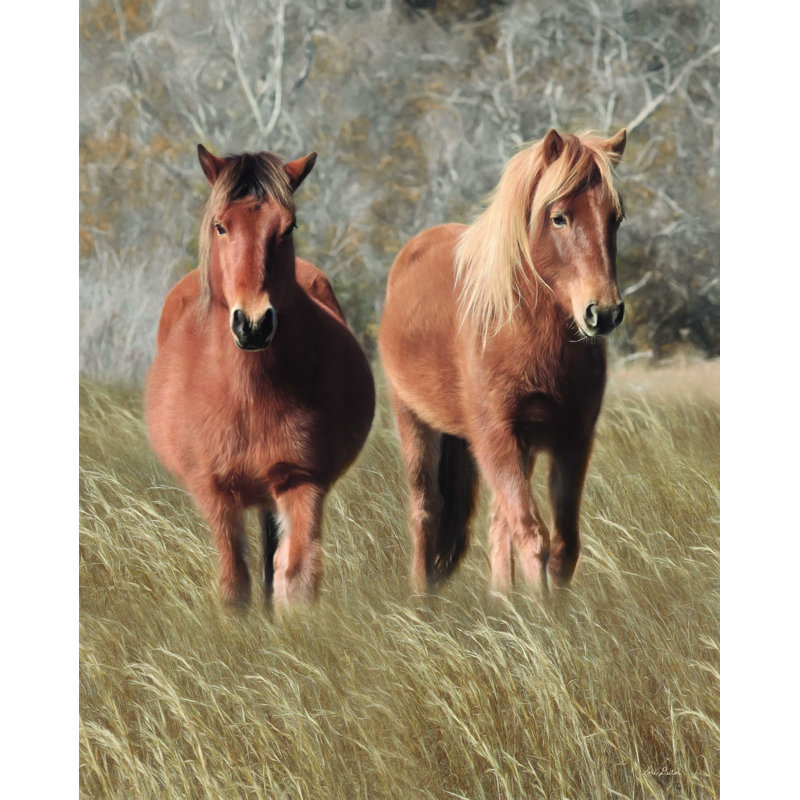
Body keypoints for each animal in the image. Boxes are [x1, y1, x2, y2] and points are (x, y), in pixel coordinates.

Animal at [146, 145, 375, 608]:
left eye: (289, 227)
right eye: (220, 226)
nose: (252, 325)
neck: (246, 393)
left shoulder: (302, 482)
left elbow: (296, 578)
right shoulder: (215, 493)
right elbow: (235, 585)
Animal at [378, 128, 627, 599]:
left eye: (616, 218)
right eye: (559, 218)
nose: (603, 313)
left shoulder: (572, 440)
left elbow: (564, 545)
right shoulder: (496, 436)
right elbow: (532, 537)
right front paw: (541, 615)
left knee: (496, 522)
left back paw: (500, 601)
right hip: (415, 422)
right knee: (426, 509)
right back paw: (422, 601)